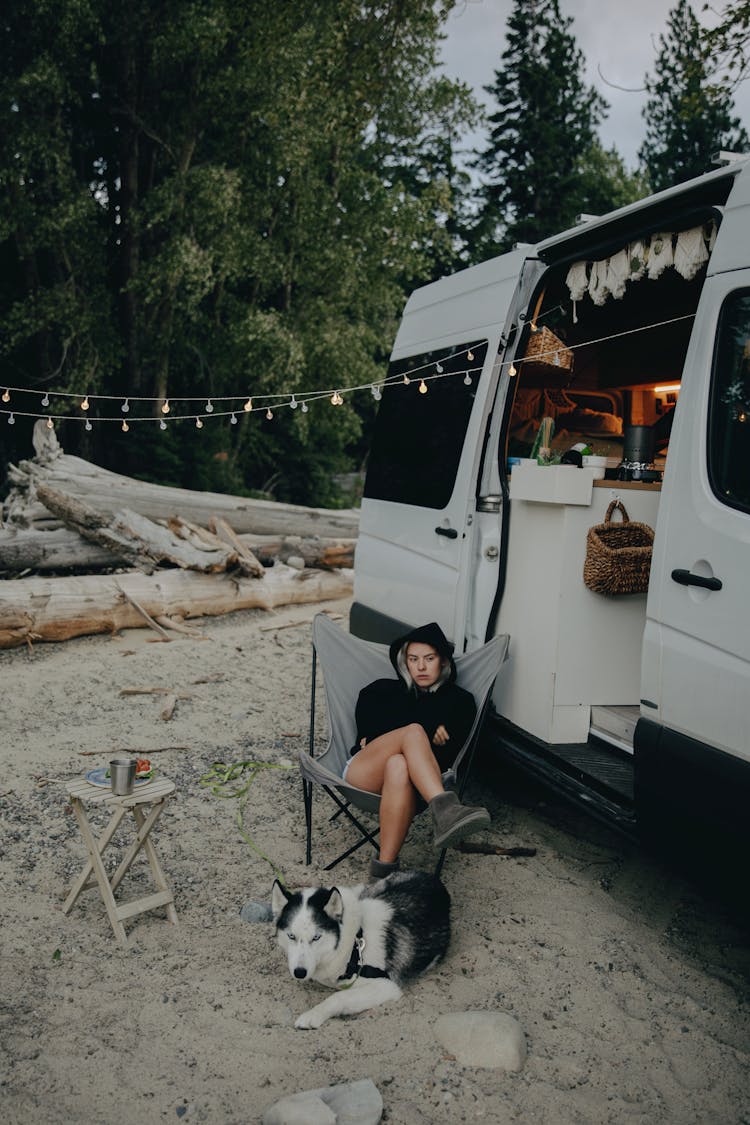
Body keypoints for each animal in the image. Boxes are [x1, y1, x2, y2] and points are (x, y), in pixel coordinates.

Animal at [275, 868, 452, 1030]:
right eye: (291, 936)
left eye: (316, 937)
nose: (299, 972)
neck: (354, 945)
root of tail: (432, 877)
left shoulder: (387, 986)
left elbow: (339, 996)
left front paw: (313, 1014)